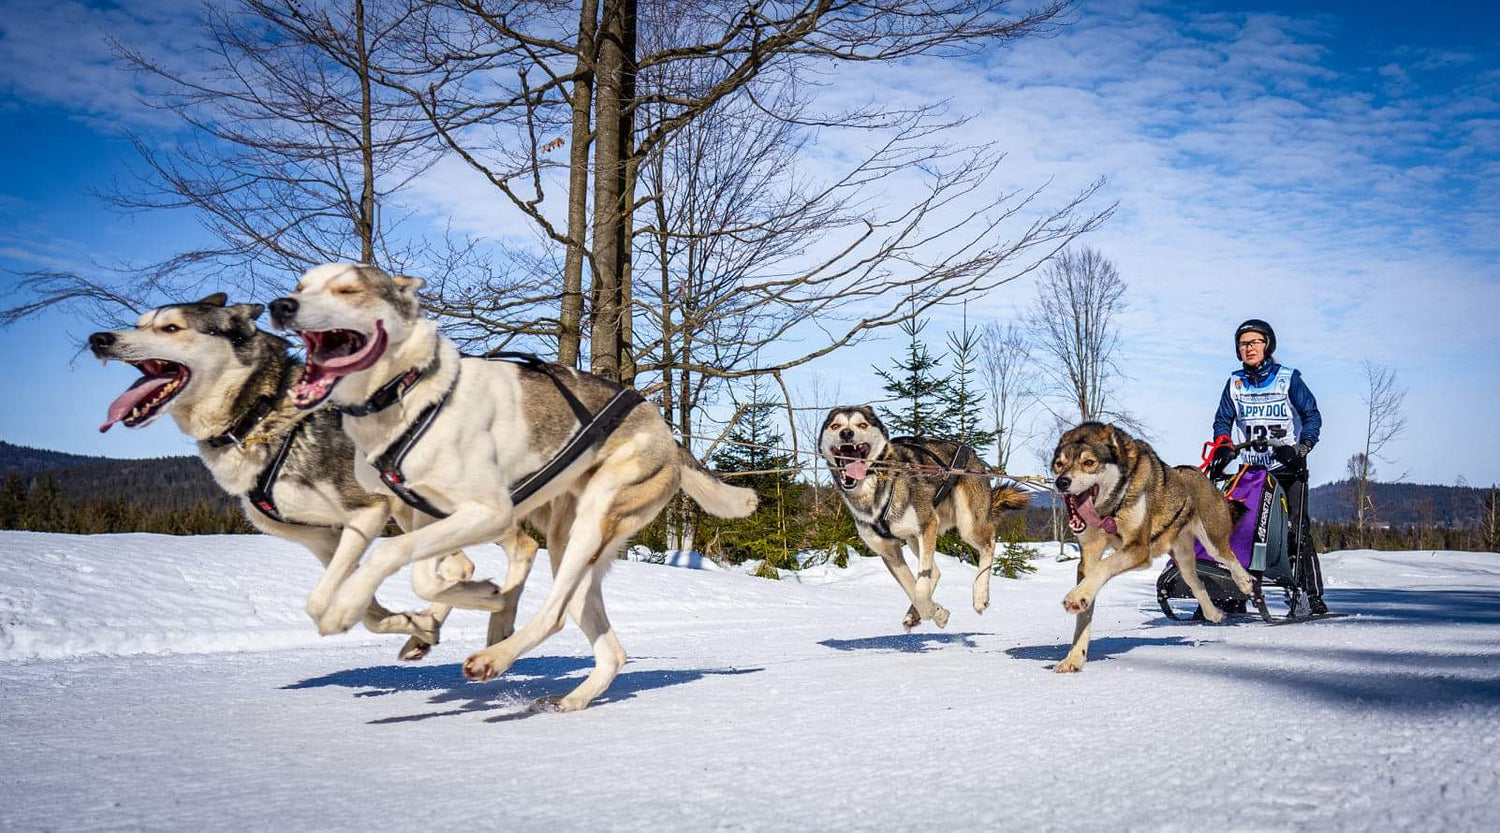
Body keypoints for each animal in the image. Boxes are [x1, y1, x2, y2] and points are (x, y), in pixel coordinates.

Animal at [85, 297, 537, 660]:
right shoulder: (322, 538)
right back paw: (433, 627)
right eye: (141, 323)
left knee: (521, 547)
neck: (263, 413)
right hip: (417, 514)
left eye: (171, 328)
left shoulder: (366, 514)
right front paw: (413, 624)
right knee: (463, 564)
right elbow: (361, 607)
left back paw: (496, 611)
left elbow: (320, 604)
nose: (99, 339)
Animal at [268, 264, 756, 714]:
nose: (280, 306)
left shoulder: (489, 512)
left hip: (595, 518)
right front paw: (482, 596)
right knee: (608, 647)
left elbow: (391, 552)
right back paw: (572, 697)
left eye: (348, 290)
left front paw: (345, 607)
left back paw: (493, 659)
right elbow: (426, 577)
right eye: (300, 286)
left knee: (554, 614)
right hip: (568, 543)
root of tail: (666, 432)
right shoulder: (427, 516)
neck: (412, 396)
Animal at [822, 408, 1032, 630]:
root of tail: (972, 454)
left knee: (989, 542)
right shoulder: (889, 550)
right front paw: (931, 612)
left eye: (862, 425)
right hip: (915, 538)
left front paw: (937, 613)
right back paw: (915, 613)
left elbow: (920, 590)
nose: (846, 433)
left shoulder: (927, 525)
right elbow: (912, 586)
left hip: (966, 526)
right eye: (835, 426)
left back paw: (980, 595)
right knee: (935, 572)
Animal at [1050, 426, 1260, 675]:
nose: (1062, 482)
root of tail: (1196, 473)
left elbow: (1105, 565)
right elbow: (1085, 612)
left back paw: (1245, 583)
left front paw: (1077, 596)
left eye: (1089, 462)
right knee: (1197, 584)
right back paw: (1213, 613)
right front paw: (1074, 657)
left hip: (1213, 539)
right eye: (1059, 464)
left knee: (1230, 558)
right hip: (1182, 560)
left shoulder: (1139, 549)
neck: (1109, 511)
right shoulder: (1089, 557)